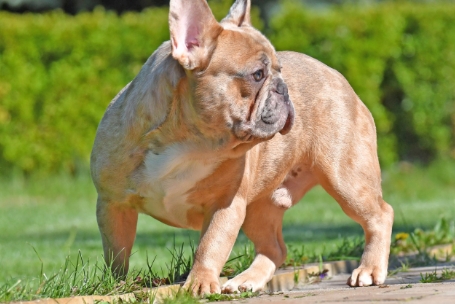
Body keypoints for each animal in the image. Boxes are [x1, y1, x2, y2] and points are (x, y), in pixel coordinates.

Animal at [91, 0, 394, 296]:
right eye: (258, 75)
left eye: (279, 72)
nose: (284, 88)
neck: (189, 143)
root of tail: (336, 75)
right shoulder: (112, 204)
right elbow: (116, 251)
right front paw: (117, 284)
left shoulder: (226, 205)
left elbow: (210, 245)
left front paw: (200, 283)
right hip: (259, 208)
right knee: (275, 249)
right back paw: (247, 280)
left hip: (346, 178)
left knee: (380, 215)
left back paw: (369, 270)